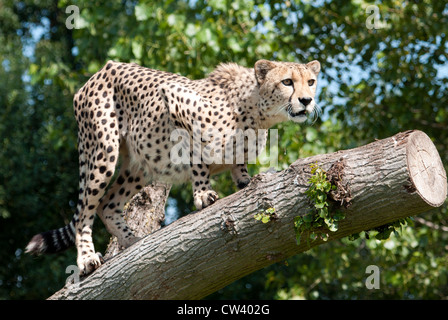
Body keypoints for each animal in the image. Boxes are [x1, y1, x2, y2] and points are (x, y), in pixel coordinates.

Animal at [25, 59, 318, 276]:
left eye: (311, 82)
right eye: (287, 82)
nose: (307, 101)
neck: (257, 112)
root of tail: (99, 72)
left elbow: (239, 164)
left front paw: (245, 181)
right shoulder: (177, 102)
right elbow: (198, 159)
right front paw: (202, 195)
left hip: (139, 165)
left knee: (107, 204)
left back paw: (133, 241)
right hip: (102, 150)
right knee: (86, 209)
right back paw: (87, 258)